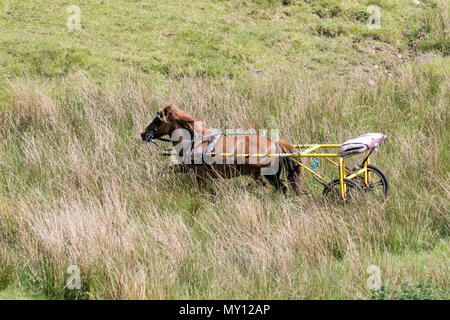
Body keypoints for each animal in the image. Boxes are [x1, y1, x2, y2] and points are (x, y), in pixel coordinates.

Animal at [141, 105, 302, 195]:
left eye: (158, 120)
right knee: (281, 189)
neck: (194, 142)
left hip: (263, 174)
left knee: (272, 186)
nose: (143, 134)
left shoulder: (199, 174)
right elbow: (166, 170)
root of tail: (274, 143)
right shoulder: (188, 169)